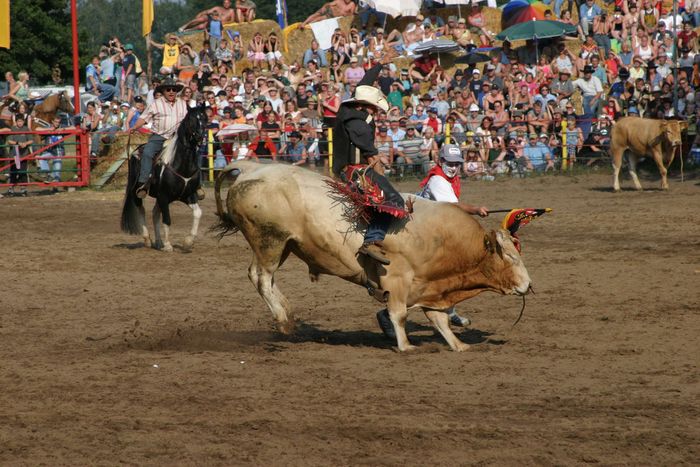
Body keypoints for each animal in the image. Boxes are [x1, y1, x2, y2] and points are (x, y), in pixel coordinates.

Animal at [119, 104, 208, 254]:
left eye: (205, 118)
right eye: (191, 119)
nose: (200, 137)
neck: (181, 165)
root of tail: (135, 151)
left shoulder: (188, 195)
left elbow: (198, 213)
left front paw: (188, 242)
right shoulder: (164, 196)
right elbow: (167, 219)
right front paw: (168, 245)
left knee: (155, 213)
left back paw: (158, 242)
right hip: (137, 191)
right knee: (141, 209)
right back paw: (148, 240)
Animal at [213, 163, 532, 352]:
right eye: (510, 257)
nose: (529, 285)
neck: (439, 237)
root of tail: (251, 168)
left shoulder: (430, 286)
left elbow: (439, 318)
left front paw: (459, 345)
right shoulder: (398, 278)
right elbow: (399, 313)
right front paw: (405, 346)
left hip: (285, 245)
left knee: (267, 279)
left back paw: (288, 313)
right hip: (269, 240)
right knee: (260, 276)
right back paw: (282, 319)